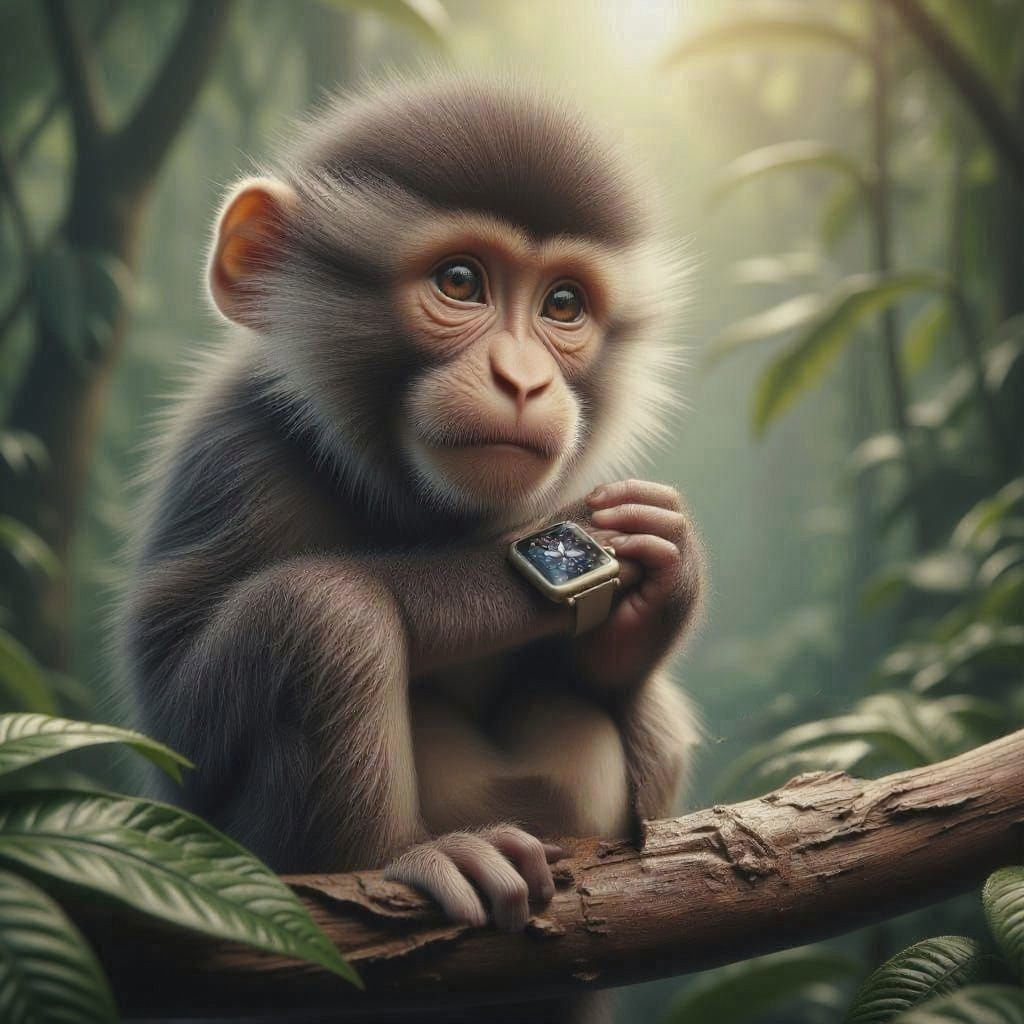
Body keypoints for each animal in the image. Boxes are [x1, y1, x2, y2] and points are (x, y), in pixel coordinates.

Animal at [121, 74, 703, 1012]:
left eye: (563, 305)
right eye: (460, 281)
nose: (523, 380)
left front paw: (658, 576)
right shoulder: (232, 456)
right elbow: (179, 741)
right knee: (323, 610)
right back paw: (415, 861)